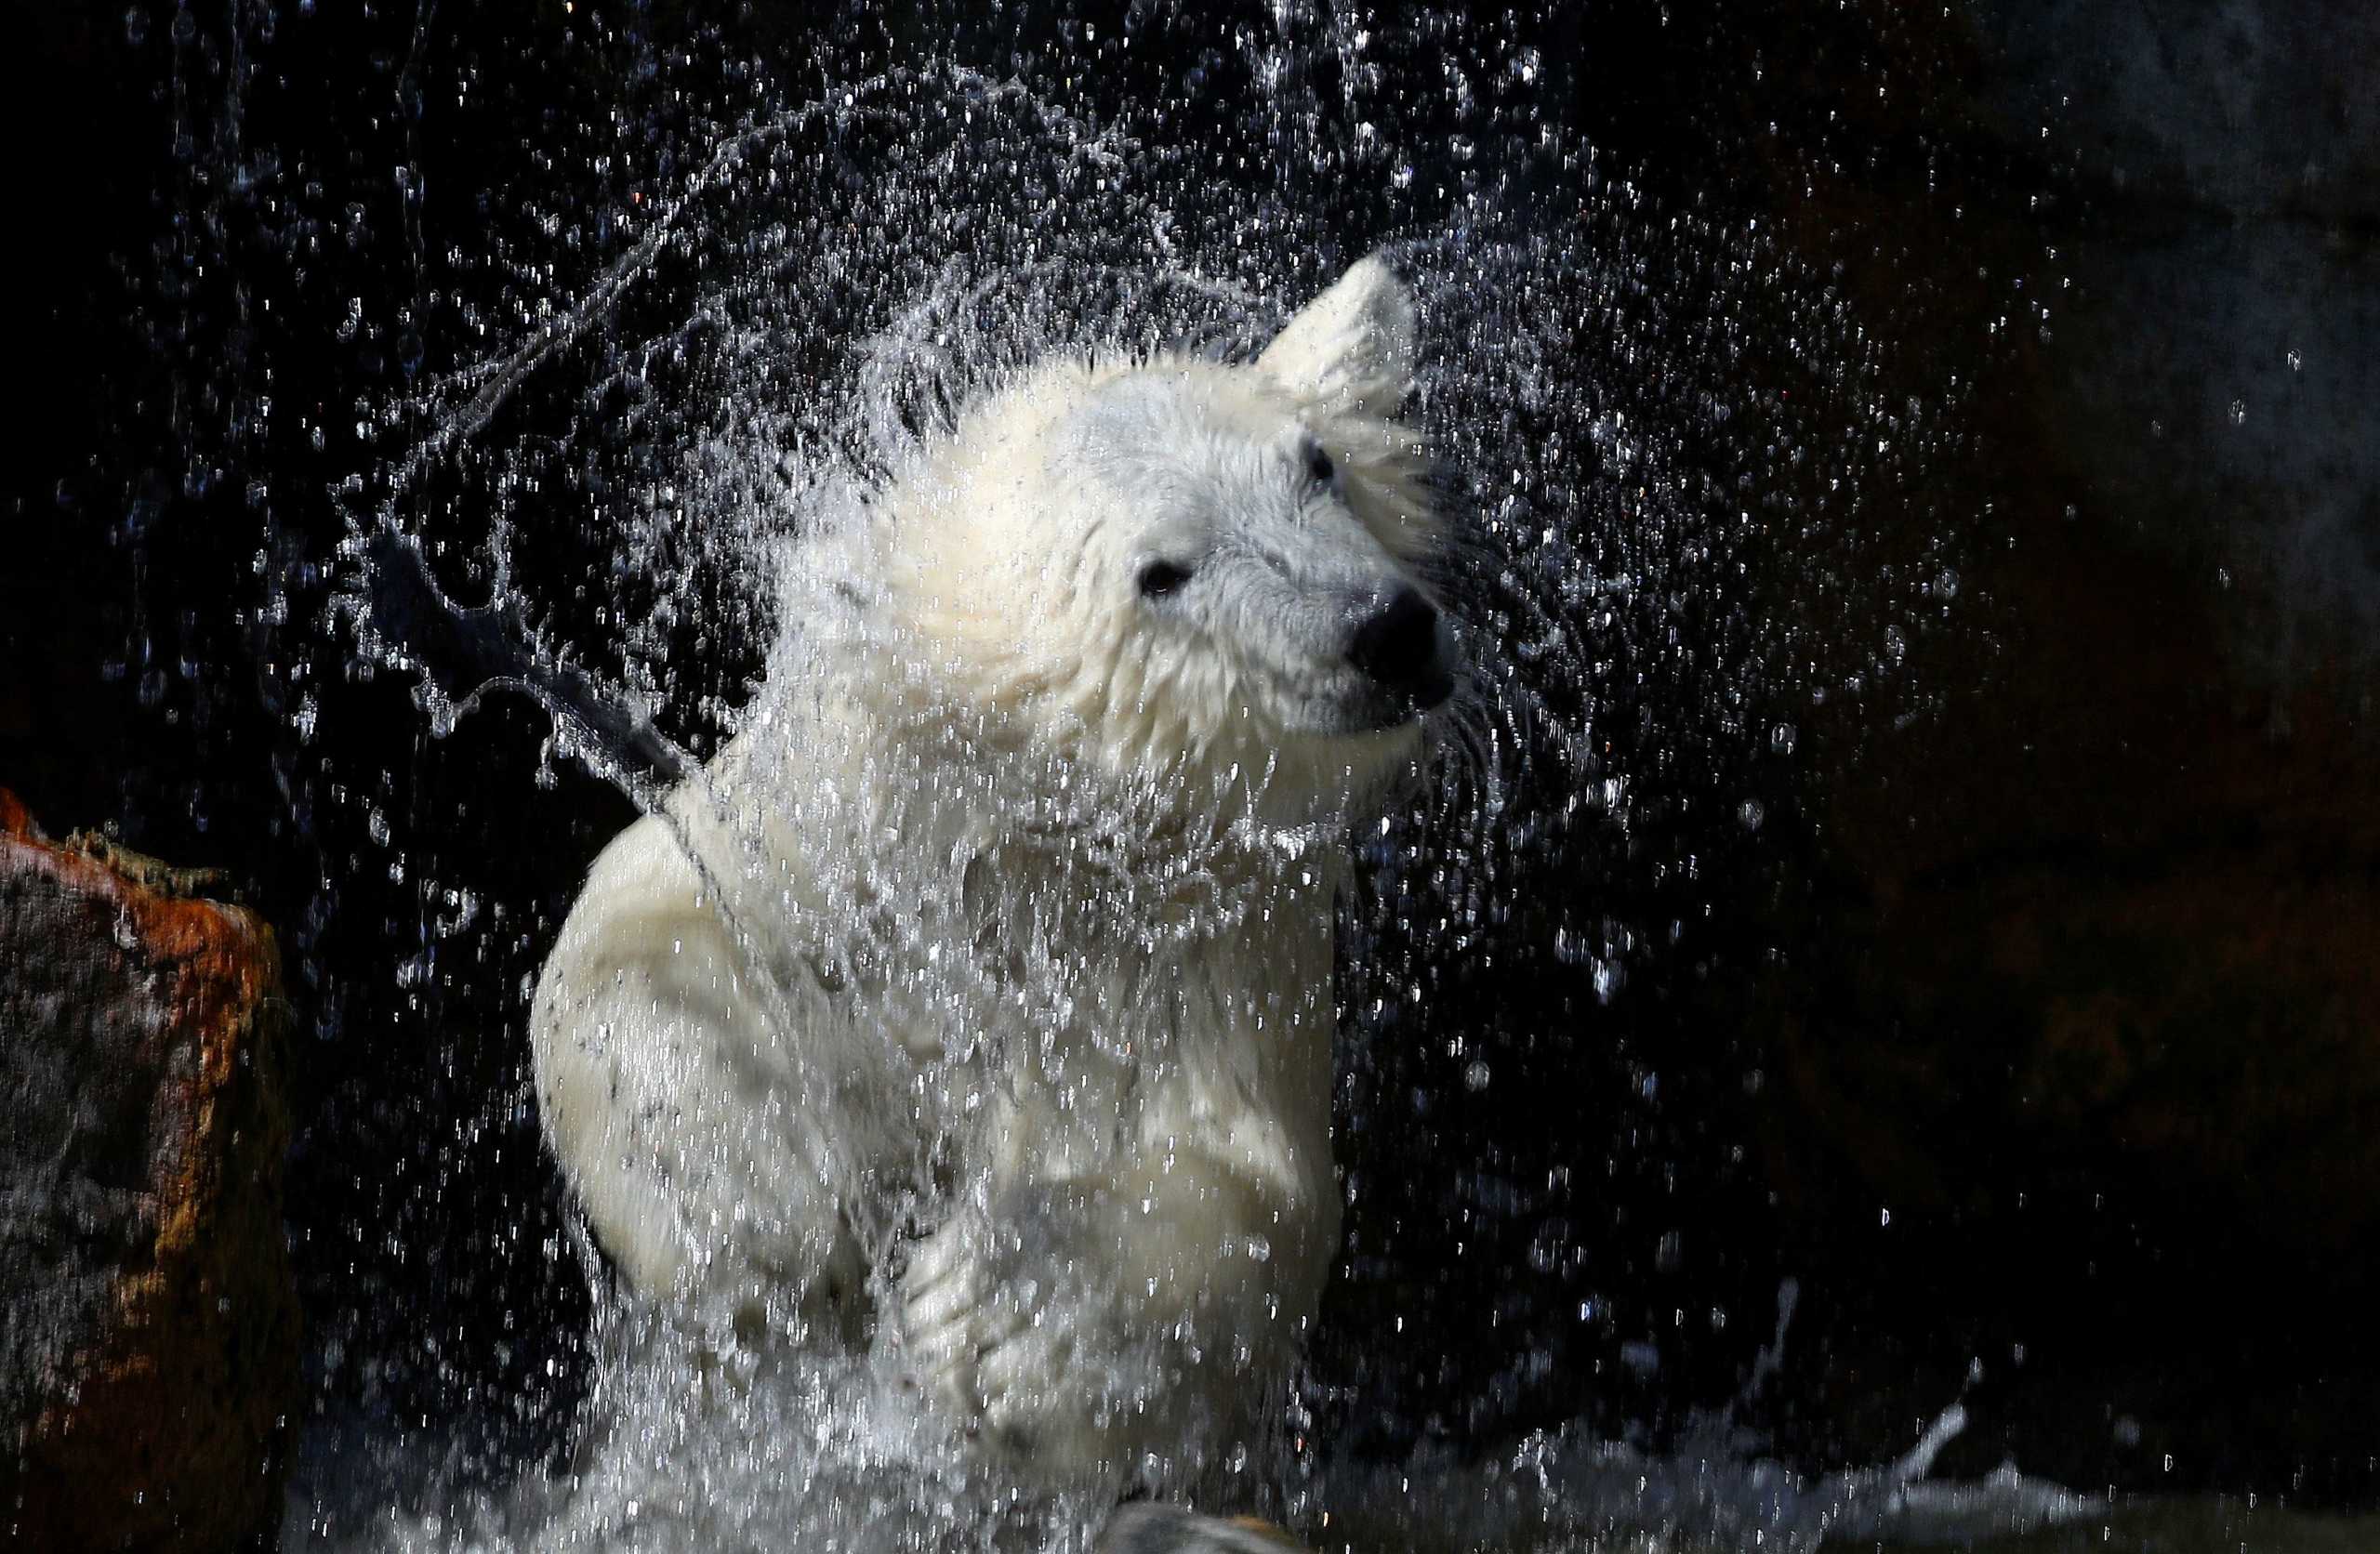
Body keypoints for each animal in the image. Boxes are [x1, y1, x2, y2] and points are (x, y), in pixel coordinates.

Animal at [530, 257, 1447, 1494]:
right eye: (1161, 571)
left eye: (1318, 466)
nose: (1383, 630)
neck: (1031, 823)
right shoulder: (850, 821)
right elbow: (647, 917)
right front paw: (757, 1200)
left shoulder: (1205, 929)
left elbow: (1239, 1161)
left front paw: (1006, 1317)